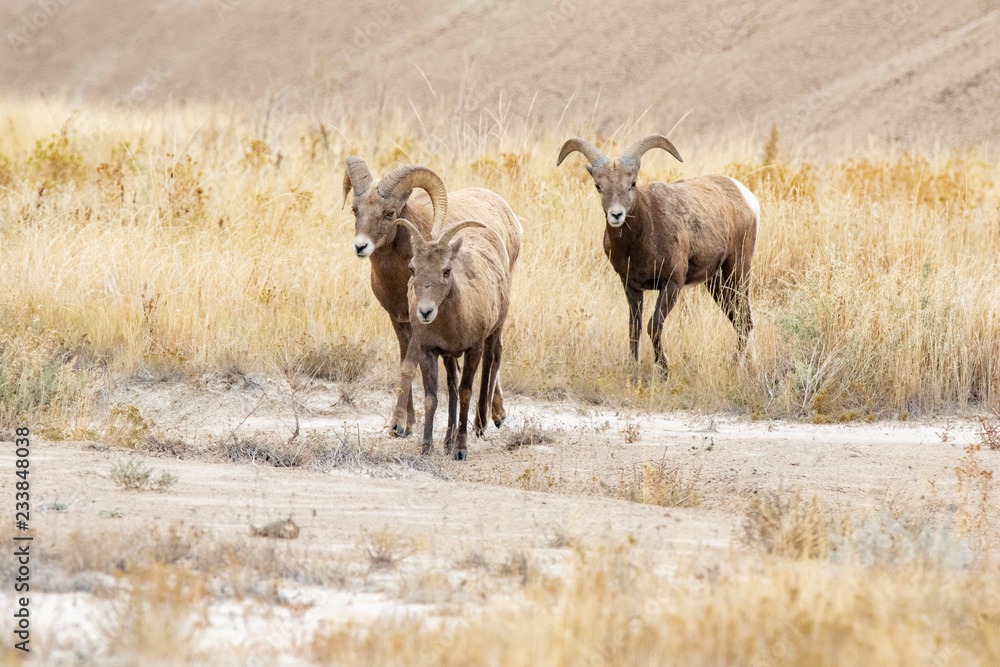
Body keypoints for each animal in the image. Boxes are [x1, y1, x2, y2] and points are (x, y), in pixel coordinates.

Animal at [343, 159, 520, 434]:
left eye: (389, 213)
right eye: (355, 210)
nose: (360, 246)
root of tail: (506, 210)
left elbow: (408, 367)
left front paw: (397, 424)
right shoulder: (399, 320)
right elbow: (405, 363)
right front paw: (407, 423)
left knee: (495, 353)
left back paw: (489, 419)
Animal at [388, 216, 518, 460]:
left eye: (446, 270)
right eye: (412, 269)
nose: (425, 312)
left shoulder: (473, 349)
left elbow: (466, 392)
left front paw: (460, 450)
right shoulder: (429, 351)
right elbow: (432, 398)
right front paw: (427, 449)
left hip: (495, 330)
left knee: (491, 361)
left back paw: (481, 424)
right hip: (449, 356)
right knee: (452, 385)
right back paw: (447, 442)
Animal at [557, 134, 760, 372]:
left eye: (632, 184)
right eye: (599, 186)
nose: (616, 215)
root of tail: (747, 197)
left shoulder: (672, 284)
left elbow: (653, 326)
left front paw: (663, 368)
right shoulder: (631, 287)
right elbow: (634, 329)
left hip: (737, 272)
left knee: (745, 321)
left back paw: (735, 367)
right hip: (716, 284)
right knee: (739, 320)